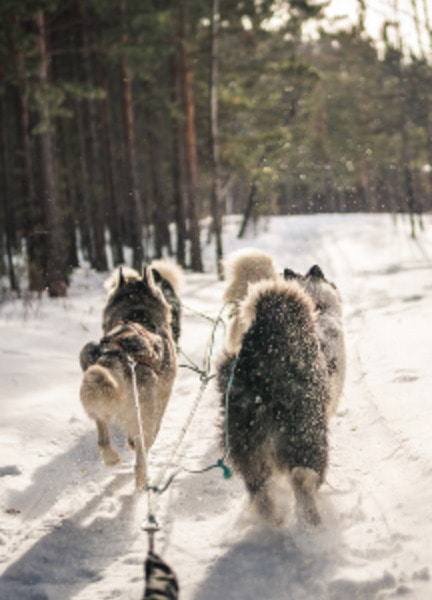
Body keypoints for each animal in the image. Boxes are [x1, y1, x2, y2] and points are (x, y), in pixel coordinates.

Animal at [78, 264, 178, 490]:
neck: (137, 313)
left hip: (98, 400)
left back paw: (111, 458)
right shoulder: (164, 395)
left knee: (103, 440)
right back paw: (142, 480)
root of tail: (117, 355)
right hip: (144, 418)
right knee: (142, 450)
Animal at [218, 278, 330, 524]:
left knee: (259, 488)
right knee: (303, 477)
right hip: (308, 435)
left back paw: (272, 518)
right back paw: (311, 518)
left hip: (245, 446)